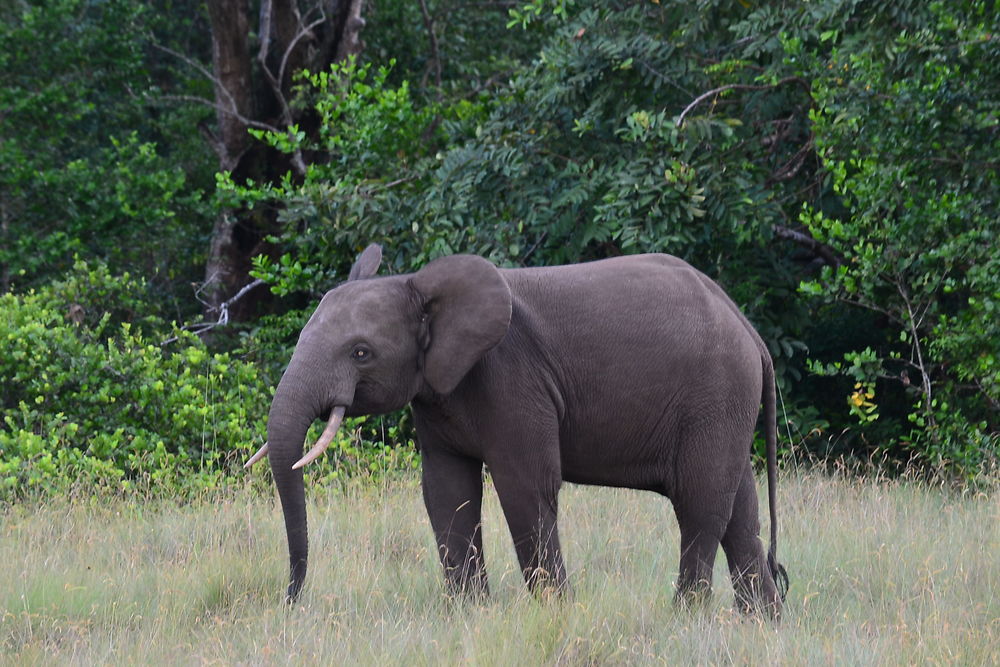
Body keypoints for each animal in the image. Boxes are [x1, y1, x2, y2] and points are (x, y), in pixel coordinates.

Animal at [244, 245, 788, 620]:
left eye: (361, 352)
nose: (289, 601)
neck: (421, 289)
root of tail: (751, 332)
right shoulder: (438, 390)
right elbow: (446, 491)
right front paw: (470, 615)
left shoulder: (511, 379)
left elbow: (524, 487)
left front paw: (556, 614)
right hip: (724, 404)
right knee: (739, 511)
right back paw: (762, 625)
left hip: (715, 392)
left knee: (699, 504)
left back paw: (684, 619)